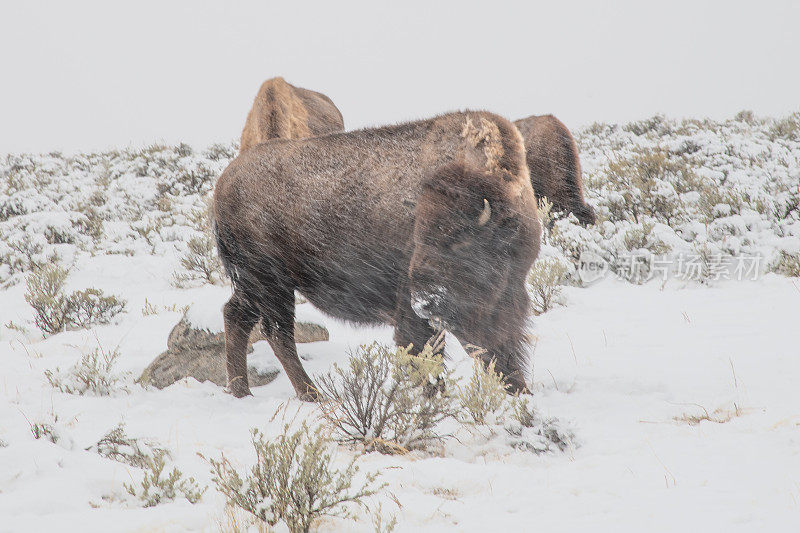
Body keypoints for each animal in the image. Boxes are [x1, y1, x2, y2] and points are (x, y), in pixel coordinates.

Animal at [209, 110, 540, 396]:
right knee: (277, 332)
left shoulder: (504, 302)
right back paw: (313, 396)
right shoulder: (415, 313)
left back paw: (242, 392)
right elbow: (428, 356)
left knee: (237, 316)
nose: (425, 302)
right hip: (270, 283)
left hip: (253, 284)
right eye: (419, 237)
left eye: (462, 241)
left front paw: (520, 393)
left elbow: (501, 351)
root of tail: (224, 182)